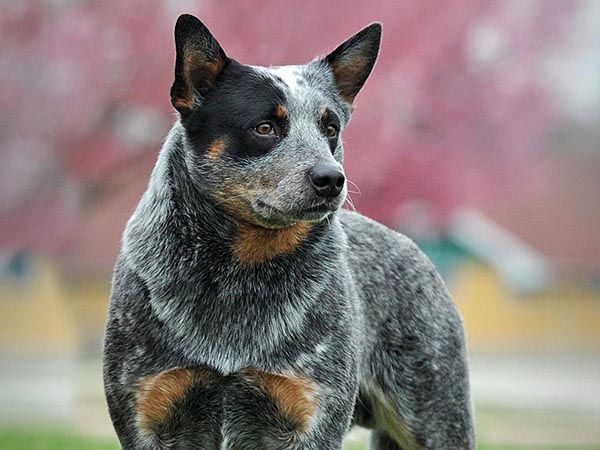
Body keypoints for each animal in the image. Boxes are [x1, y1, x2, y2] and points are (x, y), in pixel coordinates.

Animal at [104, 13, 478, 450]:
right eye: (265, 127)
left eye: (330, 128)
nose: (331, 179)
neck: (238, 273)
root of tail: (413, 247)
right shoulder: (149, 414)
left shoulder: (310, 414)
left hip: (437, 416)